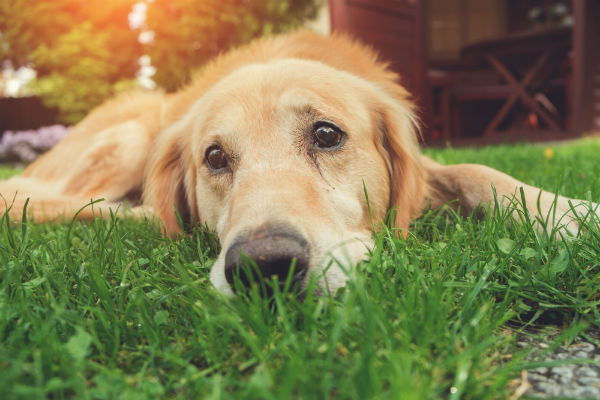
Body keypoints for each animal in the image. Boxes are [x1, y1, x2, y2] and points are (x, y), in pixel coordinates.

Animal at [2, 31, 596, 296]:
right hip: (129, 136)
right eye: (214, 156)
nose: (266, 267)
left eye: (327, 134)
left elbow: (481, 173)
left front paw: (568, 213)